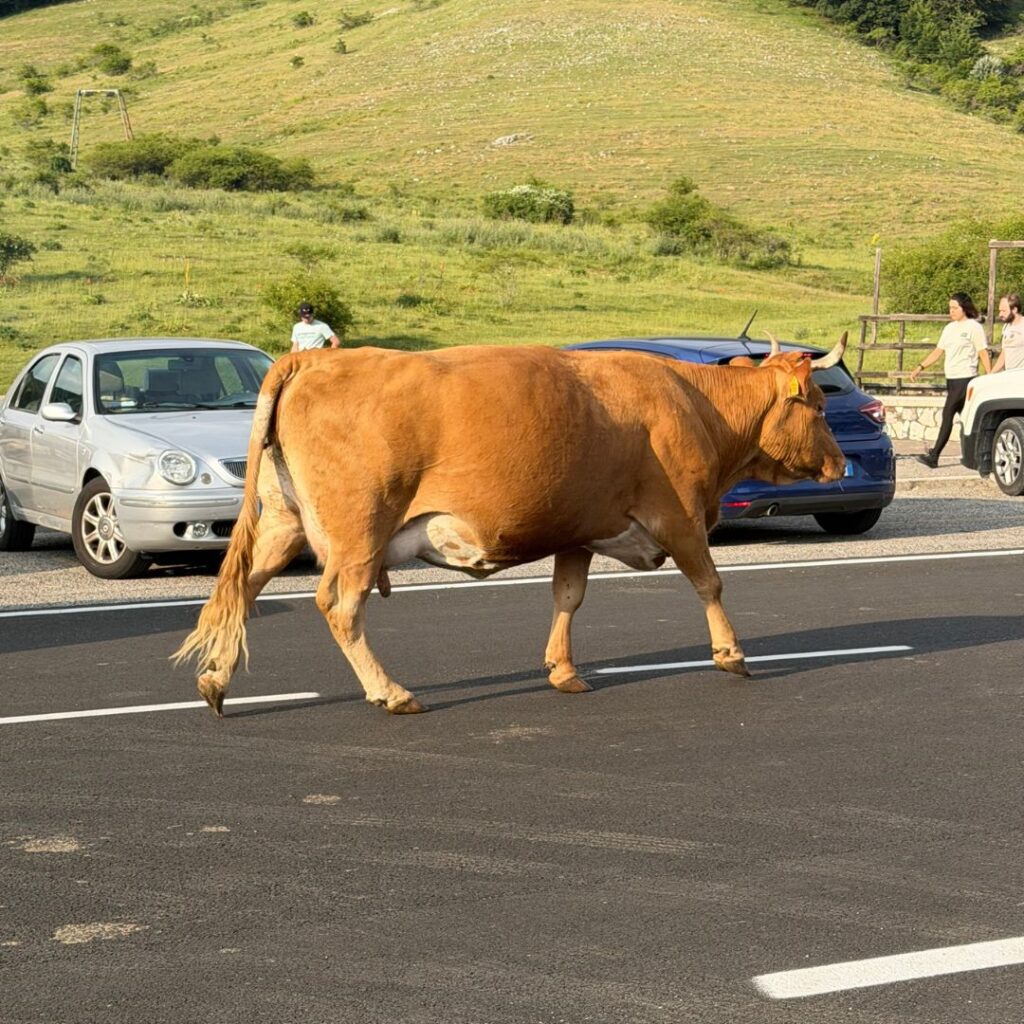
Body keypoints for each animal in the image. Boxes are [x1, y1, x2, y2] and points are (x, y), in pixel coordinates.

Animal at [174, 335, 848, 716]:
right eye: (818, 406)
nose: (840, 463)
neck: (697, 403)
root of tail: (310, 363)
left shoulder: (579, 529)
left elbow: (568, 597)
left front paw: (563, 671)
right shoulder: (678, 514)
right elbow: (709, 582)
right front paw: (731, 654)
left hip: (284, 523)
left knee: (241, 589)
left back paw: (215, 680)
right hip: (359, 532)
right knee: (340, 606)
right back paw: (391, 692)